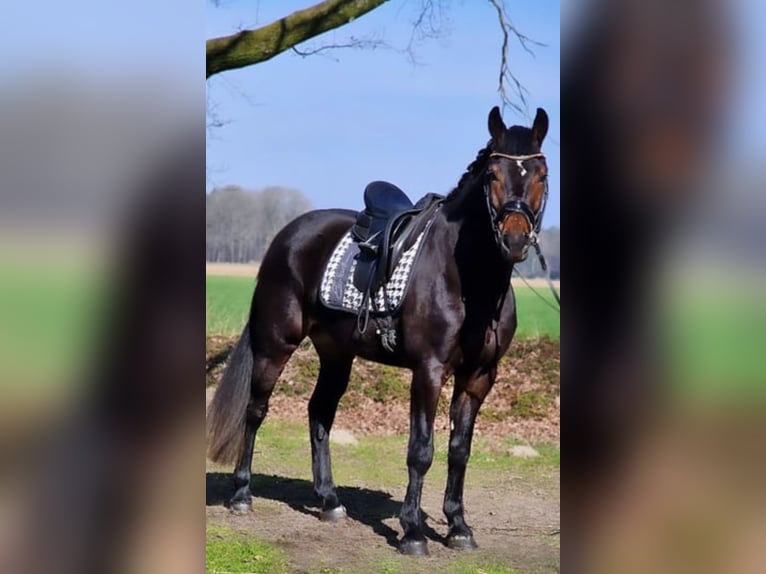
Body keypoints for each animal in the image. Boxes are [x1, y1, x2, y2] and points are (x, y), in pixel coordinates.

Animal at [207, 106, 548, 556]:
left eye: (542, 173)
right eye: (492, 174)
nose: (514, 240)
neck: (469, 280)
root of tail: (288, 234)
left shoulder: (478, 377)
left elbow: (460, 450)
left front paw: (458, 527)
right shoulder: (429, 371)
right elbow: (421, 450)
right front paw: (413, 532)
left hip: (336, 354)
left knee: (319, 412)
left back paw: (330, 501)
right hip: (275, 344)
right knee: (256, 410)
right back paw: (242, 494)